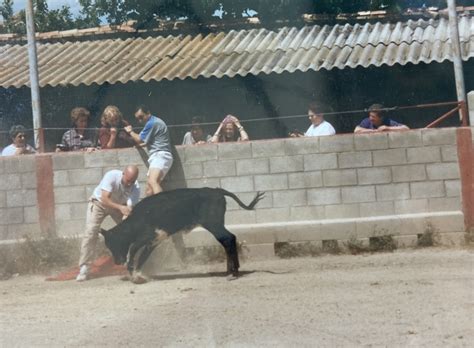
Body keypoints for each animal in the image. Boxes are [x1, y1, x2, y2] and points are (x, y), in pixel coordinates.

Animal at [100, 188, 264, 280]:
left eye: (113, 243)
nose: (117, 262)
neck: (137, 219)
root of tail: (217, 190)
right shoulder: (154, 241)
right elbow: (143, 256)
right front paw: (137, 275)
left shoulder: (147, 236)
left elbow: (133, 249)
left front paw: (132, 271)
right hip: (216, 225)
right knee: (229, 239)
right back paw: (232, 270)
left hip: (213, 224)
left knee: (228, 239)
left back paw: (232, 272)